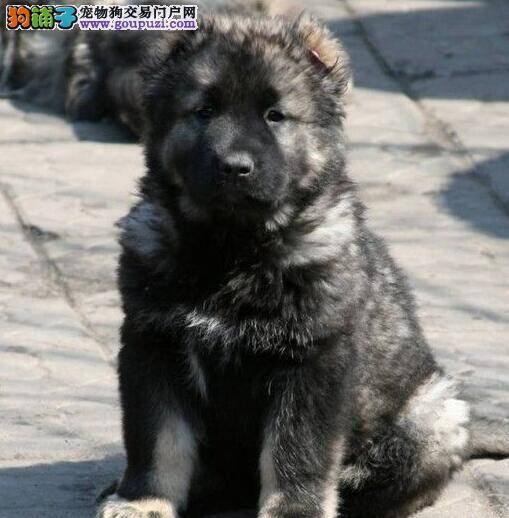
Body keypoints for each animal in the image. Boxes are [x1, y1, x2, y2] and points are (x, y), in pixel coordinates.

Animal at [95, 12, 509, 518]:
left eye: (275, 116)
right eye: (204, 112)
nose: (235, 166)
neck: (234, 249)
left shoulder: (313, 359)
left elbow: (295, 450)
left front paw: (295, 509)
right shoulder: (153, 343)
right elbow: (158, 439)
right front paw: (143, 501)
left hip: (430, 417)